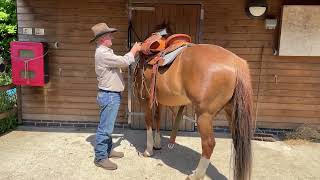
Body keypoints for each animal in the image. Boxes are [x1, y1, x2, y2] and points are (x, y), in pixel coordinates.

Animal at [132, 28, 255, 180]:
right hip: (231, 112)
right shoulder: (158, 100)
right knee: (239, 142)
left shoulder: (144, 99)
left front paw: (148, 150)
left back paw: (196, 175)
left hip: (204, 115)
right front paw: (157, 144)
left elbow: (149, 122)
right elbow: (158, 118)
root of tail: (236, 63)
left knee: (209, 144)